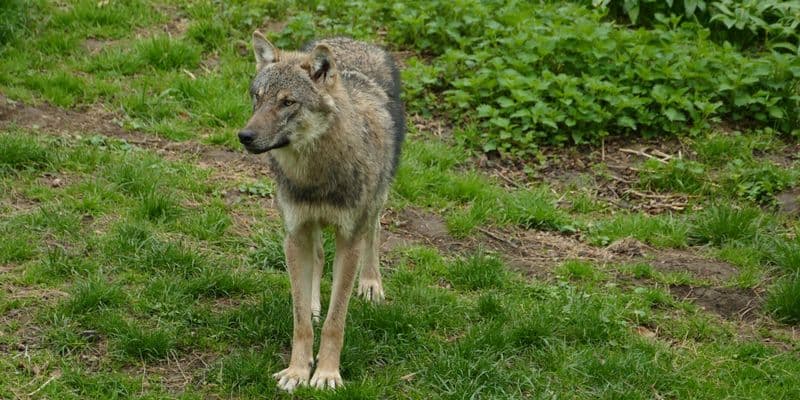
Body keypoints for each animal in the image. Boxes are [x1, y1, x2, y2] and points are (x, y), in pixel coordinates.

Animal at [237, 31, 405, 391]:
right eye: (257, 97)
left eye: (288, 102)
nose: (244, 136)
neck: (315, 177)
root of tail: (351, 40)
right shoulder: (294, 234)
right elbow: (300, 319)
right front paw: (298, 371)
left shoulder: (349, 240)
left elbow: (335, 322)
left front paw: (327, 373)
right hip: (308, 229)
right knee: (316, 257)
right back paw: (316, 302)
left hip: (376, 200)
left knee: (375, 231)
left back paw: (371, 284)